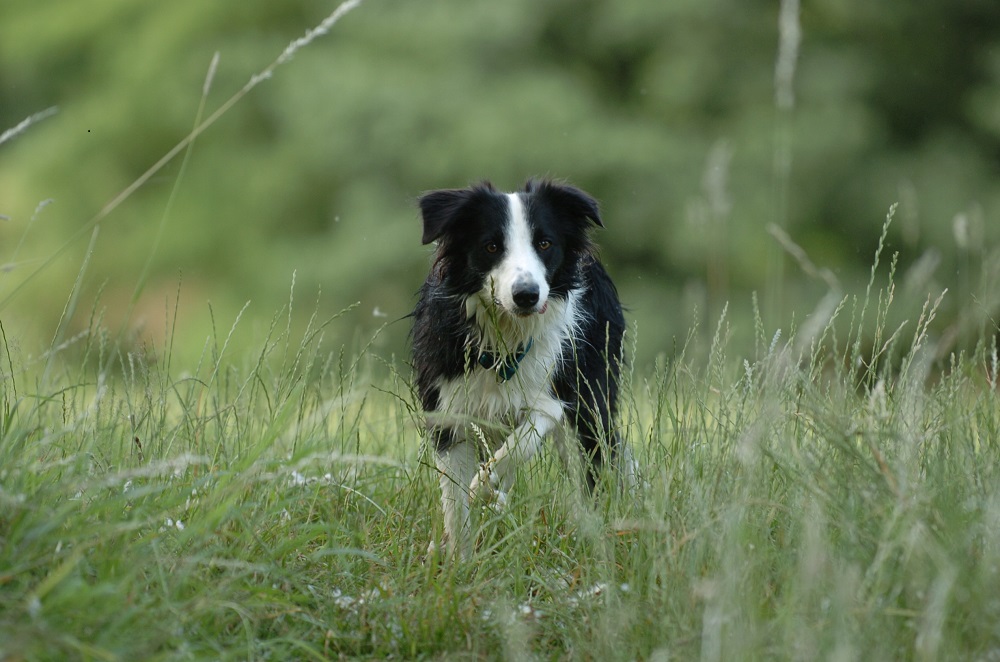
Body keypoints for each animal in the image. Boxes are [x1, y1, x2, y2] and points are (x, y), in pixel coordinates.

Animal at [412, 179, 632, 556]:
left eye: (544, 243)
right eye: (491, 246)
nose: (527, 295)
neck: (506, 336)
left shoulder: (555, 395)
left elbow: (520, 444)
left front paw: (483, 489)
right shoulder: (448, 405)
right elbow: (455, 499)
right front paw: (458, 559)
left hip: (591, 400)